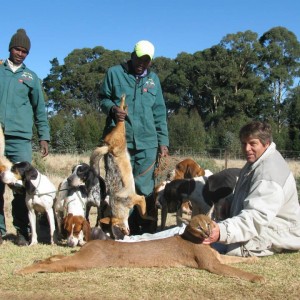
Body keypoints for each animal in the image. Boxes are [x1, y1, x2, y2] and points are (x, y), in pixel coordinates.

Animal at [15, 213, 264, 284]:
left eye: (209, 224)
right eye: (198, 225)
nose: (206, 232)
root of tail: (96, 241)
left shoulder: (218, 258)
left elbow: (236, 261)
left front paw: (253, 260)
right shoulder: (211, 265)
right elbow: (235, 270)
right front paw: (257, 277)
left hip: (82, 257)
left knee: (53, 259)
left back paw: (36, 261)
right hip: (86, 261)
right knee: (56, 264)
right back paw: (22, 270)